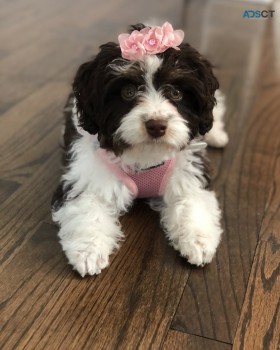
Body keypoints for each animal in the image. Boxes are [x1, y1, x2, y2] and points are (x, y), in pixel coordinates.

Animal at [52, 23, 228, 278]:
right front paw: (88, 251)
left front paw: (198, 241)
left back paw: (217, 136)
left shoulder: (187, 172)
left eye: (176, 93)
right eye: (128, 92)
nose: (156, 125)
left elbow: (191, 200)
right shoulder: (87, 177)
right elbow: (87, 208)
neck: (145, 156)